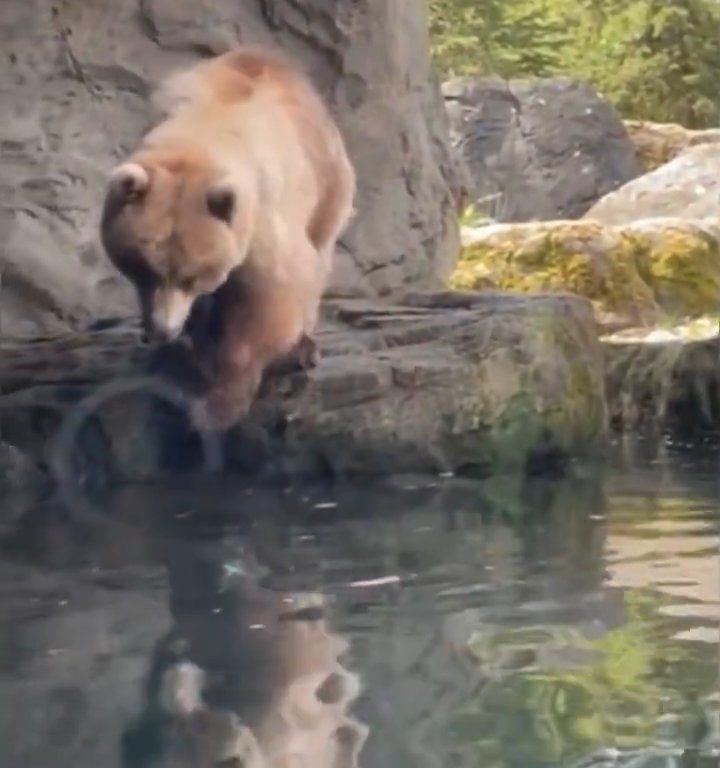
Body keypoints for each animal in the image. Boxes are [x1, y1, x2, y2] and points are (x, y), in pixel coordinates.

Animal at [101, 46, 358, 432]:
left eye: (192, 276)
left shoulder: (262, 218)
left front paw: (215, 406)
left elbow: (268, 298)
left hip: (328, 179)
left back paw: (302, 347)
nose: (163, 329)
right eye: (144, 269)